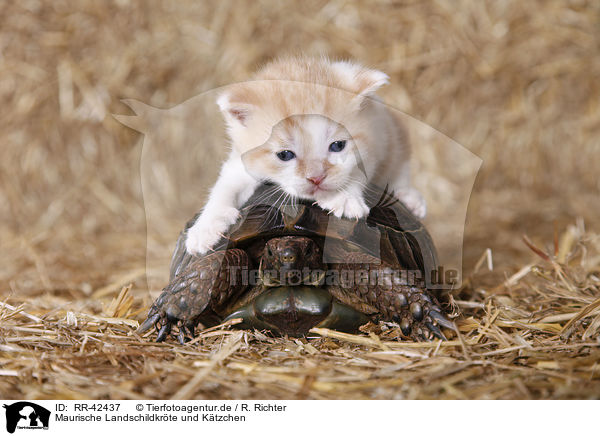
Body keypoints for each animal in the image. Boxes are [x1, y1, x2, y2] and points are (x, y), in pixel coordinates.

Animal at [185, 57, 424, 255]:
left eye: (337, 146)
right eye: (285, 155)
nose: (316, 178)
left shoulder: (375, 141)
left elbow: (357, 171)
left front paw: (344, 197)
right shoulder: (241, 161)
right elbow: (225, 185)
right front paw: (206, 227)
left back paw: (410, 198)